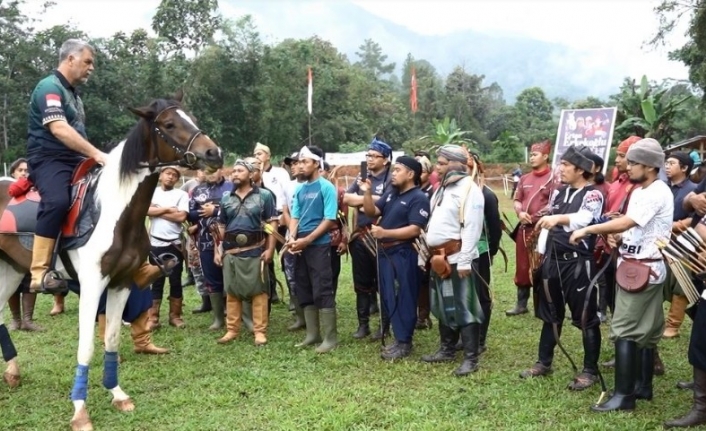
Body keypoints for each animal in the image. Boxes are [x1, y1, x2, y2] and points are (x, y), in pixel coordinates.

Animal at [0, 91, 223, 431]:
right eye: (169, 124)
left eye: (192, 118)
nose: (214, 153)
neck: (115, 211)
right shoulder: (93, 285)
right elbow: (87, 345)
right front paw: (80, 411)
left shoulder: (122, 283)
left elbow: (113, 338)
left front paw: (117, 394)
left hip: (11, 270)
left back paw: (12, 372)